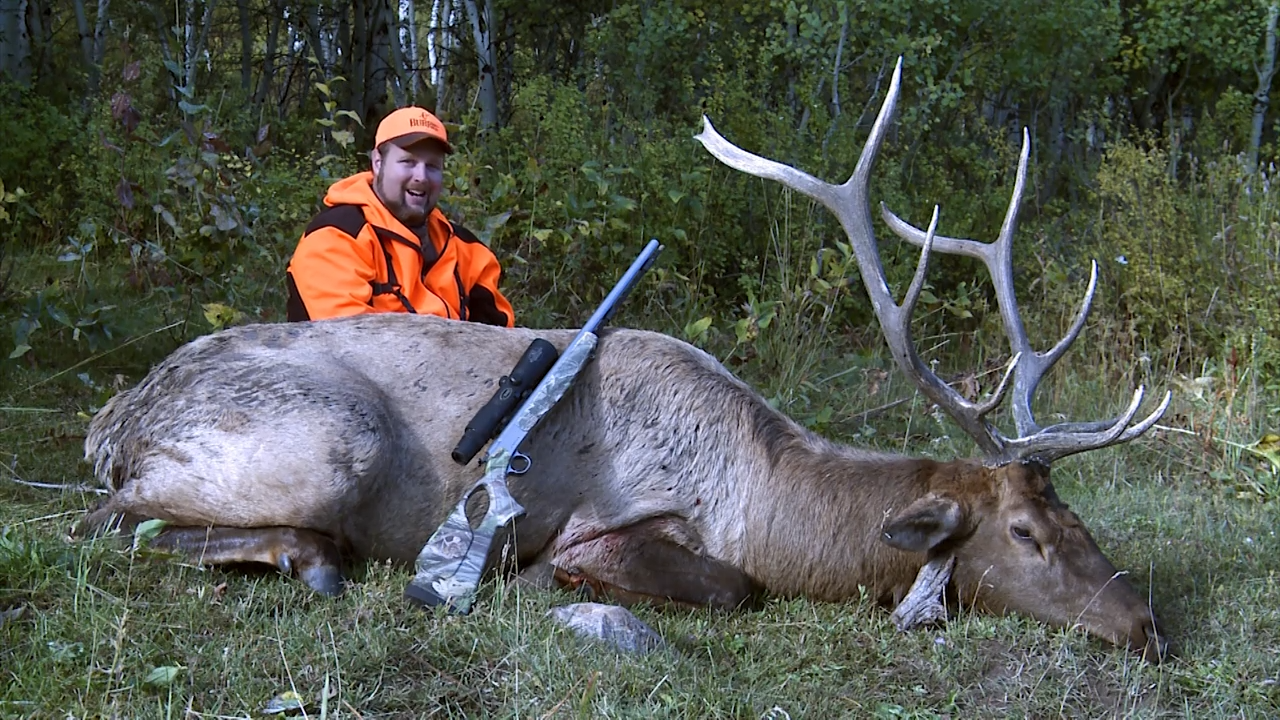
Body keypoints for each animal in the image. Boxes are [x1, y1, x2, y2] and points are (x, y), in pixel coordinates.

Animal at [79, 59, 1170, 661]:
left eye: (1077, 516)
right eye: (1023, 534)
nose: (1146, 623)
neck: (768, 499)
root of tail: (109, 422)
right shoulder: (609, 525)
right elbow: (730, 587)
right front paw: (534, 586)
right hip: (323, 442)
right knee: (112, 525)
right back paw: (313, 560)